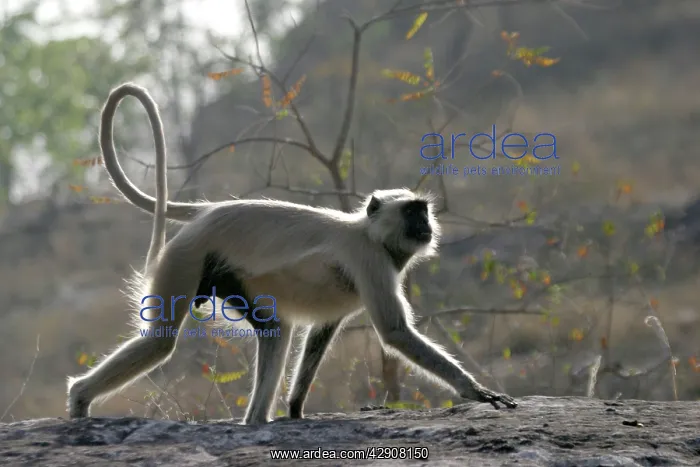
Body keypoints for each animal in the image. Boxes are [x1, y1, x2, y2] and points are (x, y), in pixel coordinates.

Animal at [67, 83, 517, 425]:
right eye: (412, 212)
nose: (426, 226)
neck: (368, 232)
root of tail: (210, 211)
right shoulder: (368, 259)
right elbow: (394, 333)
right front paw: (475, 390)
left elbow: (320, 333)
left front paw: (296, 409)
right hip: (188, 254)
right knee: (162, 342)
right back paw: (79, 399)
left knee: (274, 330)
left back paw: (256, 420)